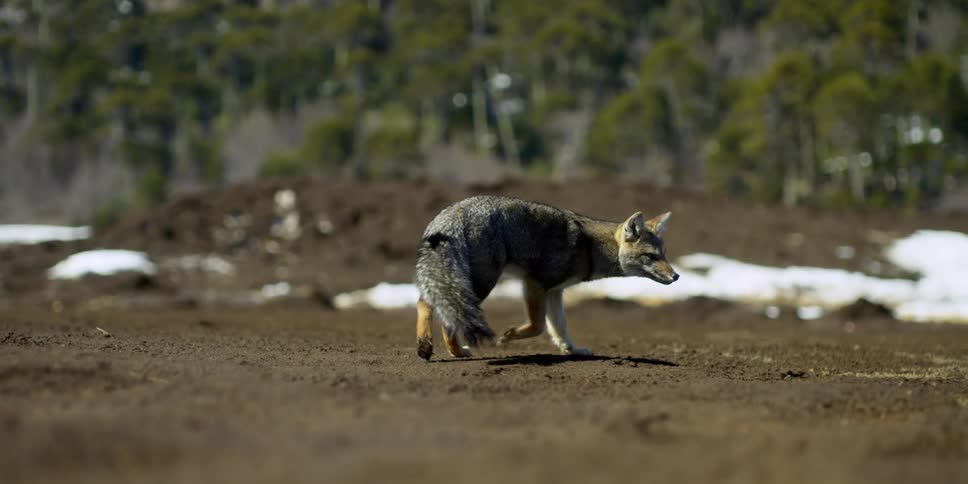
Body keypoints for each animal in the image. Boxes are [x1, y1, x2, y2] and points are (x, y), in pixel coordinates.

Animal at [414, 195, 678, 360]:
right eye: (651, 257)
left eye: (664, 254)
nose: (676, 276)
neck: (590, 247)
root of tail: (453, 213)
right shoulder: (535, 283)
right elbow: (539, 325)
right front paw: (508, 336)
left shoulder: (554, 291)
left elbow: (559, 326)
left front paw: (571, 349)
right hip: (482, 283)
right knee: (446, 316)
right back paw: (456, 351)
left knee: (425, 302)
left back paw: (426, 346)